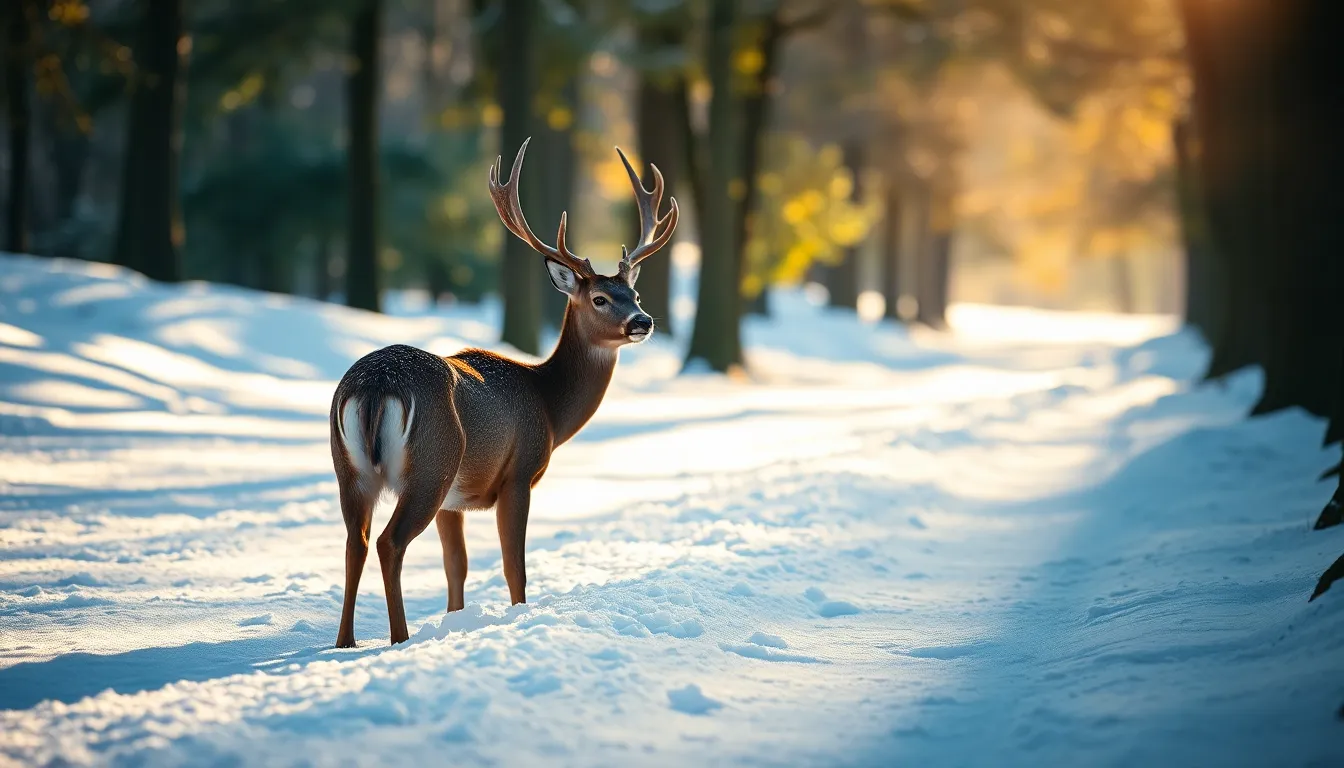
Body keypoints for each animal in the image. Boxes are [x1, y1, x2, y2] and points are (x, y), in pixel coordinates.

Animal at [328, 138, 678, 647]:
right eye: (599, 299)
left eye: (634, 294)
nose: (643, 322)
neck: (548, 405)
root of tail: (375, 386)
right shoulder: (519, 472)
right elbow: (516, 567)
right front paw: (518, 616)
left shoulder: (455, 501)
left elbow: (457, 568)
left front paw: (456, 619)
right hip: (432, 462)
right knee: (388, 542)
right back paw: (399, 637)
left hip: (351, 469)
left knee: (354, 541)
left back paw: (345, 642)